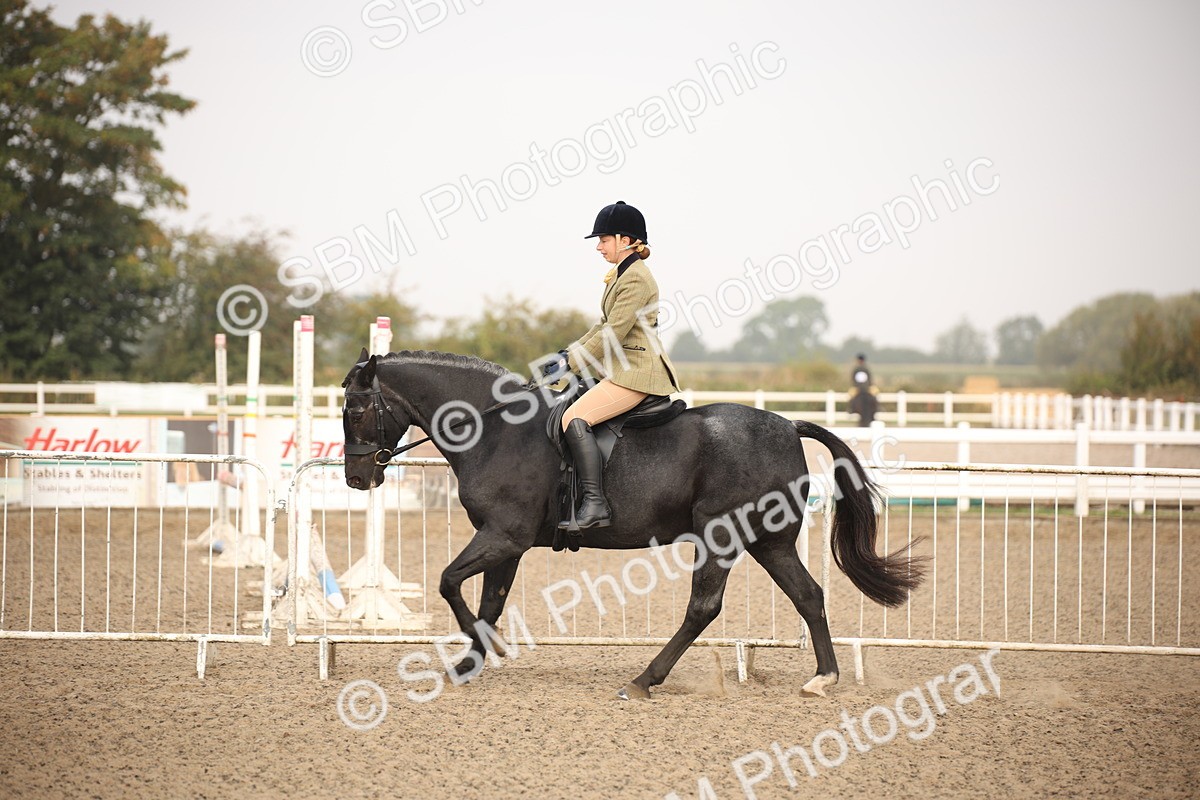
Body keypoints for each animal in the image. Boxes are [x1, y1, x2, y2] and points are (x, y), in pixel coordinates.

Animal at [341, 349, 923, 699]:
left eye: (355, 410)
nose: (355, 478)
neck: (495, 430)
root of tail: (787, 423)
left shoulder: (503, 535)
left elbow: (448, 582)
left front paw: (491, 652)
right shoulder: (508, 542)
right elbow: (487, 601)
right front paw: (471, 663)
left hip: (722, 535)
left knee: (704, 607)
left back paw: (645, 680)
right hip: (769, 541)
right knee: (808, 594)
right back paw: (823, 678)